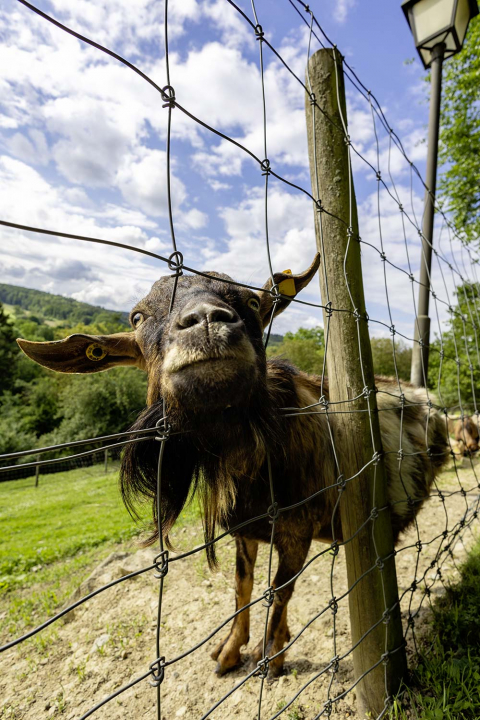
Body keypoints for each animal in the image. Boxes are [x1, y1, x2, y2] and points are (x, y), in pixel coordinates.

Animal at [15, 258, 450, 676]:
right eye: (137, 317)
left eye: (253, 302)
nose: (207, 320)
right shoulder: (246, 529)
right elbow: (244, 585)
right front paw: (230, 651)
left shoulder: (298, 530)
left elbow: (280, 590)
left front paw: (270, 656)